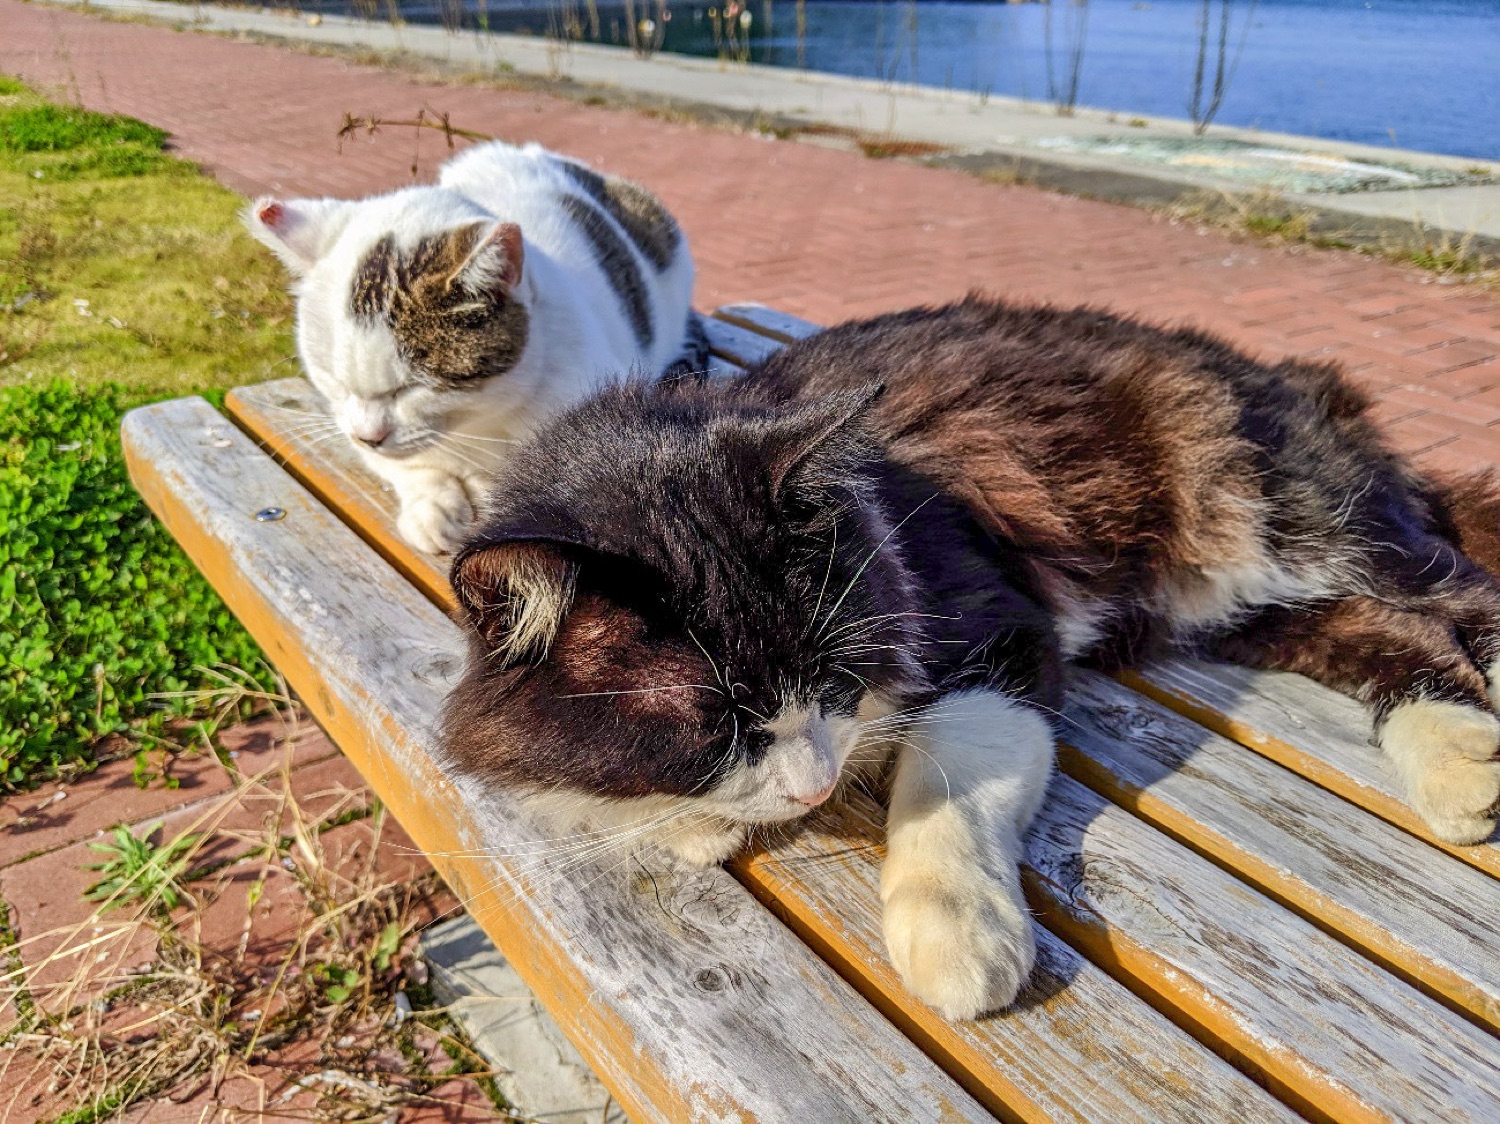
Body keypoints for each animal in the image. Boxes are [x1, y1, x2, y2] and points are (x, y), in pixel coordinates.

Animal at [244, 140, 696, 552]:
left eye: (413, 387)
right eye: (333, 380)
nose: (368, 436)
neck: (476, 426)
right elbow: (404, 466)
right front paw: (432, 505)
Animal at [441, 295, 1500, 1014]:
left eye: (834, 674)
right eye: (715, 723)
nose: (814, 786)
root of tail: (1283, 375)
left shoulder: (999, 624)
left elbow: (946, 776)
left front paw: (956, 935)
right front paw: (689, 816)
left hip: (1285, 514)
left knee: (1459, 595)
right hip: (1236, 604)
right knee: (1381, 632)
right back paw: (1460, 767)